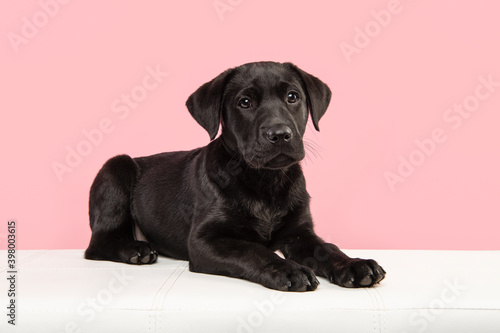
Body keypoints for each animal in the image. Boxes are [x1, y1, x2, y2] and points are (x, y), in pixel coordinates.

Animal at [84, 61, 386, 290]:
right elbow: (253, 250)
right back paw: (137, 250)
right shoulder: (204, 241)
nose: (279, 134)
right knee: (97, 245)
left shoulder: (300, 233)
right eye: (245, 102)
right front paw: (288, 269)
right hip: (116, 167)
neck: (266, 182)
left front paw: (354, 265)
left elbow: (327, 248)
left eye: (292, 97)